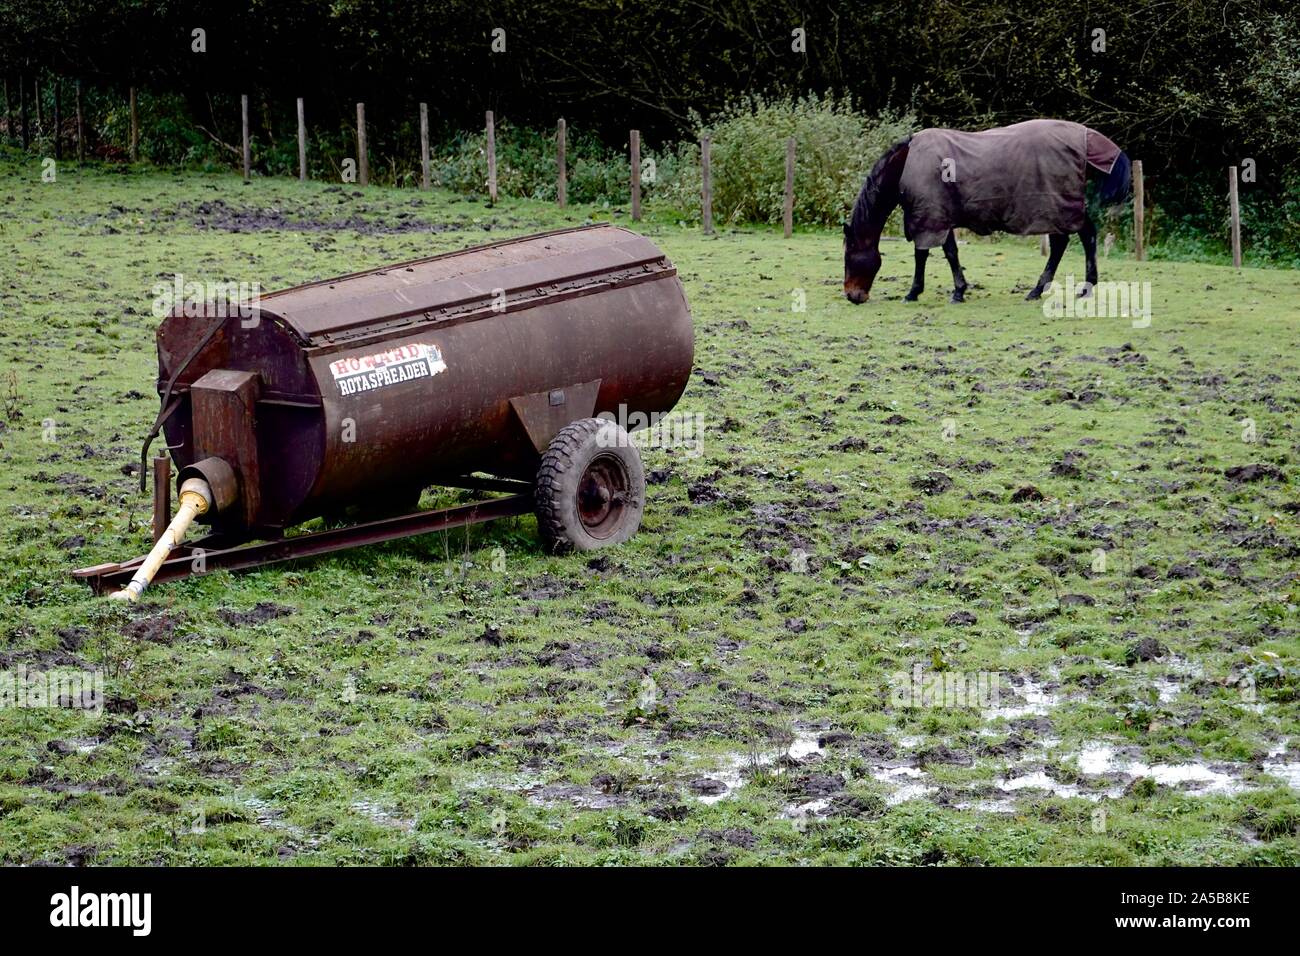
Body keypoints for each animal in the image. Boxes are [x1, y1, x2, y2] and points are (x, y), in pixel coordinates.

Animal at [847, 117, 1133, 303]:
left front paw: (914, 292)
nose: (852, 296)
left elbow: (923, 254)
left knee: (1078, 239)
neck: (907, 165)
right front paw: (959, 290)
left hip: (1057, 209)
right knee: (1073, 240)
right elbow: (951, 253)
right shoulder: (941, 218)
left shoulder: (929, 218)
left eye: (848, 256)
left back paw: (1065, 288)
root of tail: (1085, 135)